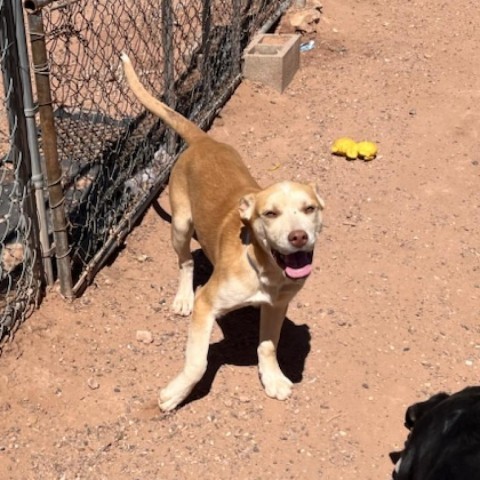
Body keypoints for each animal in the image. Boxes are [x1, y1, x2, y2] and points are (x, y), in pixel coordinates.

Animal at [120, 54, 324, 410]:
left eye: (309, 208)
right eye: (270, 213)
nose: (298, 236)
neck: (263, 269)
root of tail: (204, 139)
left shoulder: (277, 306)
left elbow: (268, 346)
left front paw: (273, 379)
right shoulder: (207, 304)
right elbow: (197, 362)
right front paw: (175, 394)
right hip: (180, 225)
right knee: (185, 261)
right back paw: (182, 297)